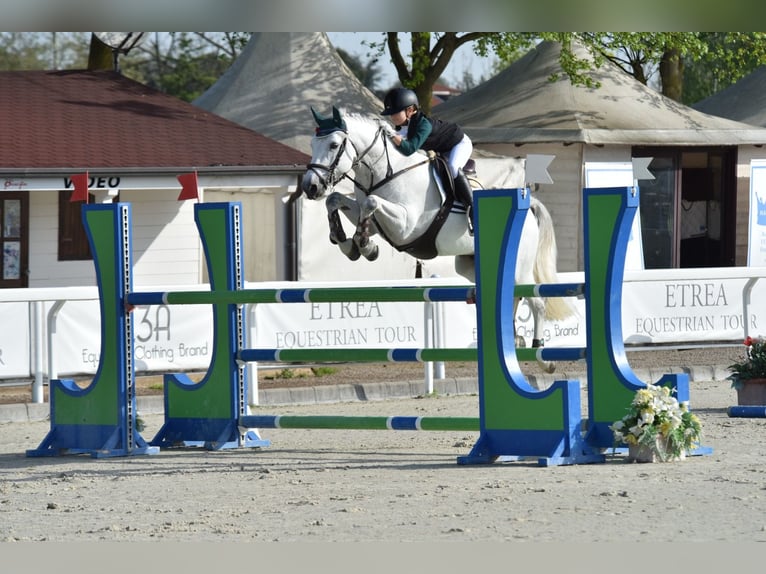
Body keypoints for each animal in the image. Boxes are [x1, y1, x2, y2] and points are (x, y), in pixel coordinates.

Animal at [300, 106, 576, 374]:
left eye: (334, 145)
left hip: (520, 267)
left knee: (537, 302)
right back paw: (514, 341)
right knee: (509, 298)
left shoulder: (406, 226)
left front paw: (366, 246)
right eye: (313, 143)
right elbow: (335, 200)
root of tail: (528, 208)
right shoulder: (376, 221)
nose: (309, 187)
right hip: (469, 264)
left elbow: (371, 202)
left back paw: (543, 357)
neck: (384, 172)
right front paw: (347, 243)